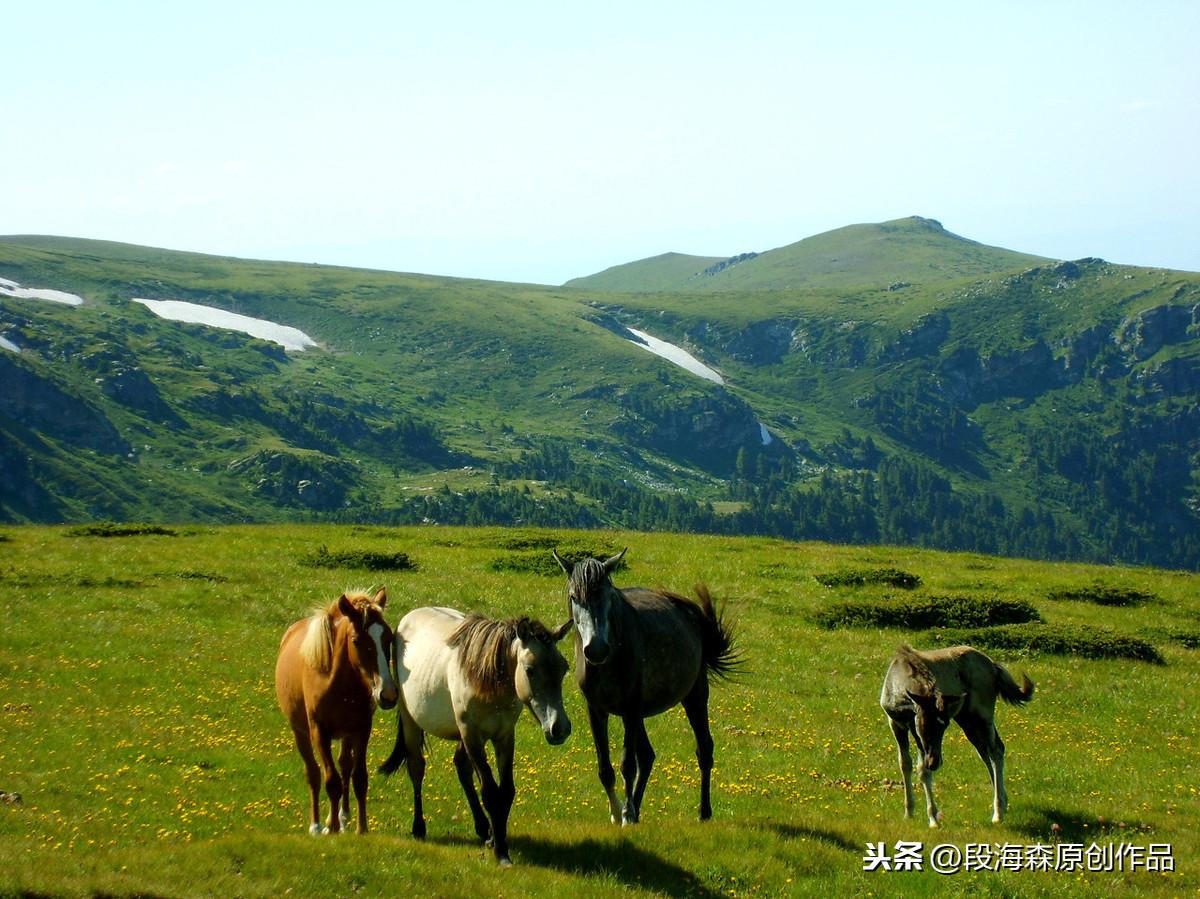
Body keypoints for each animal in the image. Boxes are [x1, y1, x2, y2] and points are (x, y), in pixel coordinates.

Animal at [276, 588, 398, 835]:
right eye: (357, 641)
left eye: (388, 638)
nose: (387, 694)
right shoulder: (319, 732)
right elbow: (330, 781)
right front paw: (329, 828)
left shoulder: (361, 729)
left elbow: (359, 778)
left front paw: (362, 828)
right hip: (300, 733)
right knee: (314, 773)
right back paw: (316, 825)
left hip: (346, 734)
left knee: (345, 767)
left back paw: (344, 817)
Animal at [381, 602, 573, 864]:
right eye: (530, 670)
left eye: (564, 668)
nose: (559, 728)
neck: (488, 681)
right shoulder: (472, 735)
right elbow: (490, 792)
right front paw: (501, 853)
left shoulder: (504, 737)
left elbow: (506, 791)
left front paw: (497, 840)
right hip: (412, 721)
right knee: (416, 768)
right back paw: (419, 828)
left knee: (462, 767)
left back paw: (484, 829)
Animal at [554, 542, 739, 825]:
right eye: (575, 597)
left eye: (608, 596)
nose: (596, 649)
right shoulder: (596, 709)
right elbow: (605, 768)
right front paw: (617, 813)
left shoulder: (630, 707)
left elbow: (627, 765)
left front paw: (626, 813)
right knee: (648, 755)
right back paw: (638, 811)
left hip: (694, 695)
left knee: (704, 749)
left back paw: (703, 812)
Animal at [878, 643, 1036, 825]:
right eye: (922, 724)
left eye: (944, 725)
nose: (935, 762)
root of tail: (993, 666)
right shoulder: (897, 725)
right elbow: (905, 764)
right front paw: (909, 812)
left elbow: (922, 770)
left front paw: (933, 818)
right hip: (967, 720)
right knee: (985, 752)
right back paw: (1004, 802)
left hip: (983, 715)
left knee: (995, 750)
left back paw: (997, 813)